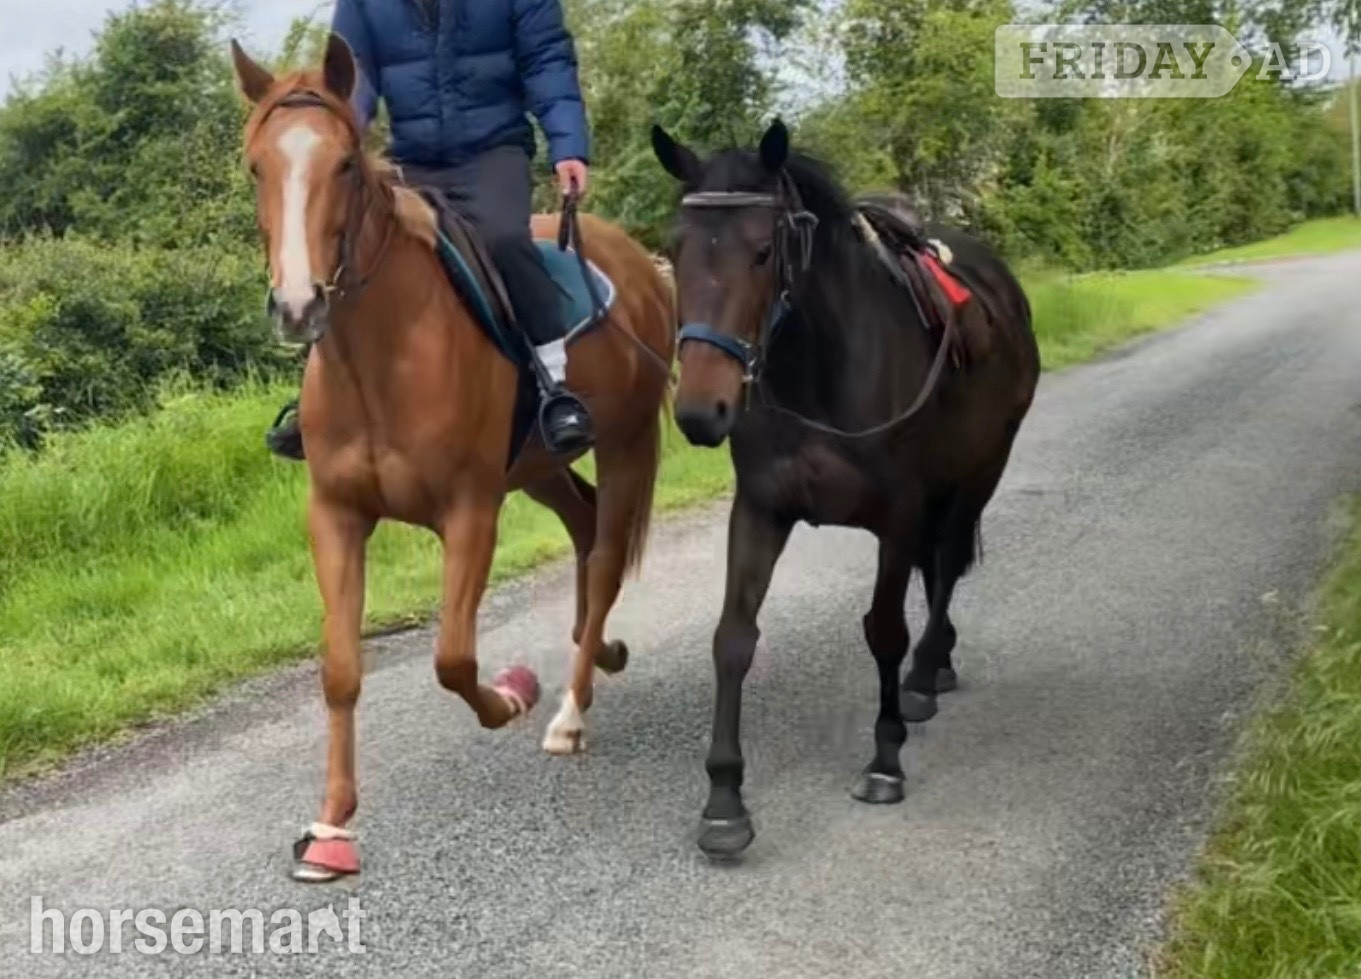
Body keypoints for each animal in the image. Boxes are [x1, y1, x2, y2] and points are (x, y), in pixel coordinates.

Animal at [230, 35, 675, 882]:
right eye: (256, 167)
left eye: (344, 164)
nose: (298, 306)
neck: (382, 357)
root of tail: (638, 263)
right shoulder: (336, 514)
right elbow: (340, 667)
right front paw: (330, 824)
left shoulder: (470, 511)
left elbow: (453, 658)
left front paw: (513, 694)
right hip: (538, 469)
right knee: (583, 525)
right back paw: (597, 651)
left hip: (627, 444)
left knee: (604, 555)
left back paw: (568, 710)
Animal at [651, 120, 1040, 858]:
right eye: (673, 249)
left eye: (762, 250)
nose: (700, 411)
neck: (821, 373)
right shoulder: (760, 510)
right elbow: (733, 639)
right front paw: (724, 799)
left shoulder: (897, 516)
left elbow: (883, 630)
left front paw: (884, 761)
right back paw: (935, 669)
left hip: (982, 471)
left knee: (947, 564)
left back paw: (922, 675)